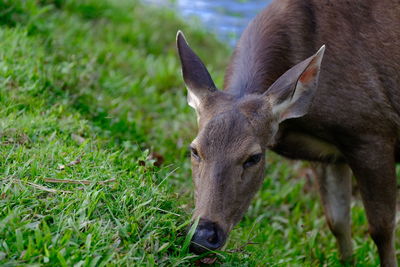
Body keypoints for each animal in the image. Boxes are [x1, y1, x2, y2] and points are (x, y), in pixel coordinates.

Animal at [176, 0, 400, 266]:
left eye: (254, 157)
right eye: (194, 150)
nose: (203, 236)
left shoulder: (372, 132)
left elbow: (382, 228)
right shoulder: (328, 154)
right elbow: (338, 222)